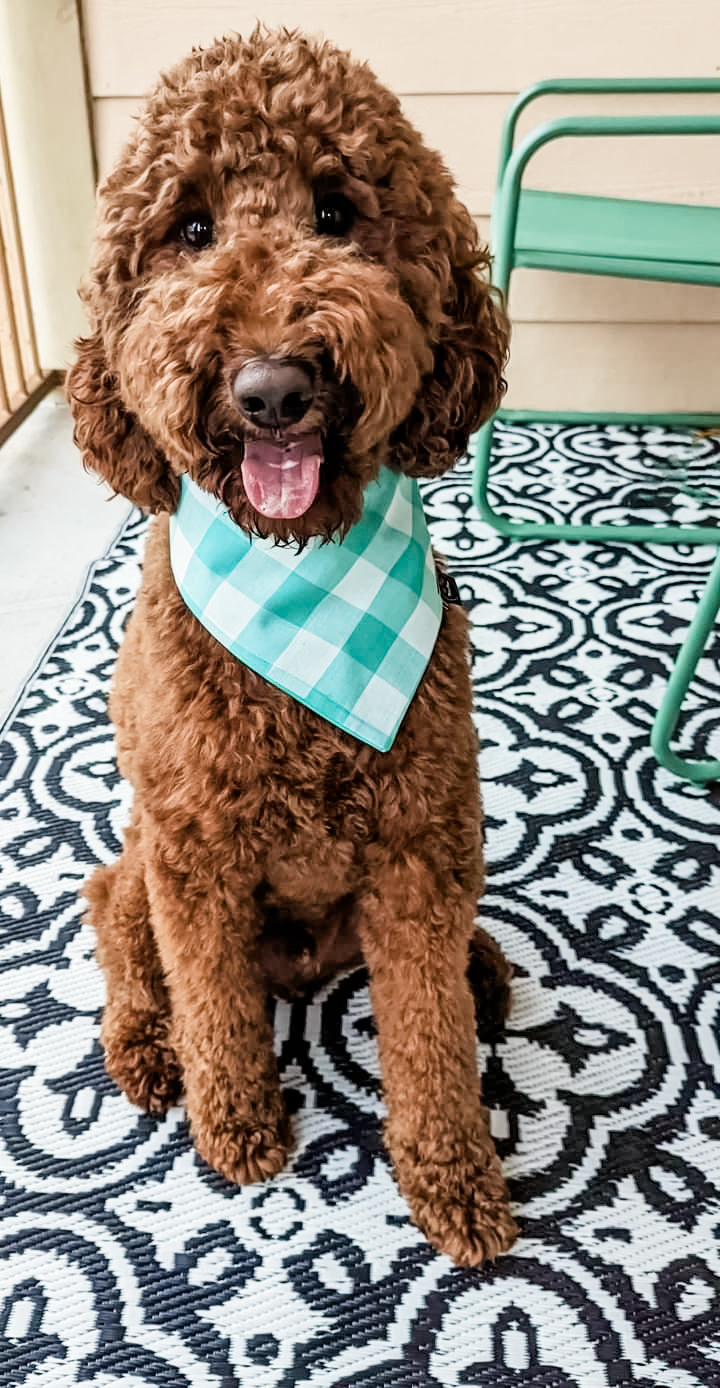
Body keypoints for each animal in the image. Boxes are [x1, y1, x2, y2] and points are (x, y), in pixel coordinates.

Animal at [67, 27, 518, 1265]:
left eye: (335, 212)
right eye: (190, 229)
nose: (272, 386)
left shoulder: (417, 848)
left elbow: (428, 1035)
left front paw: (455, 1177)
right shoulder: (193, 855)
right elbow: (215, 1003)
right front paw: (237, 1129)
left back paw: (483, 965)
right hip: (136, 867)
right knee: (119, 937)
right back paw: (146, 1051)